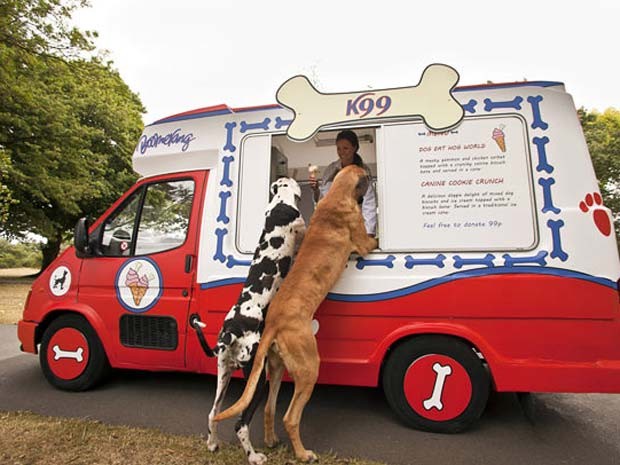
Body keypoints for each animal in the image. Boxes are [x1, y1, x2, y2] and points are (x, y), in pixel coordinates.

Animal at [190, 177, 304, 464]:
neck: (280, 203)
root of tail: (230, 330)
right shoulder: (300, 225)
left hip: (224, 374)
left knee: (213, 412)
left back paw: (213, 444)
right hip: (257, 379)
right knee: (240, 422)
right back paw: (254, 456)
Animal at [216, 163, 376, 460]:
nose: (372, 176)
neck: (337, 194)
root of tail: (272, 324)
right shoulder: (365, 243)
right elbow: (373, 238)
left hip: (278, 367)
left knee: (269, 408)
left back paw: (270, 441)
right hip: (309, 367)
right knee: (290, 417)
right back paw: (303, 454)